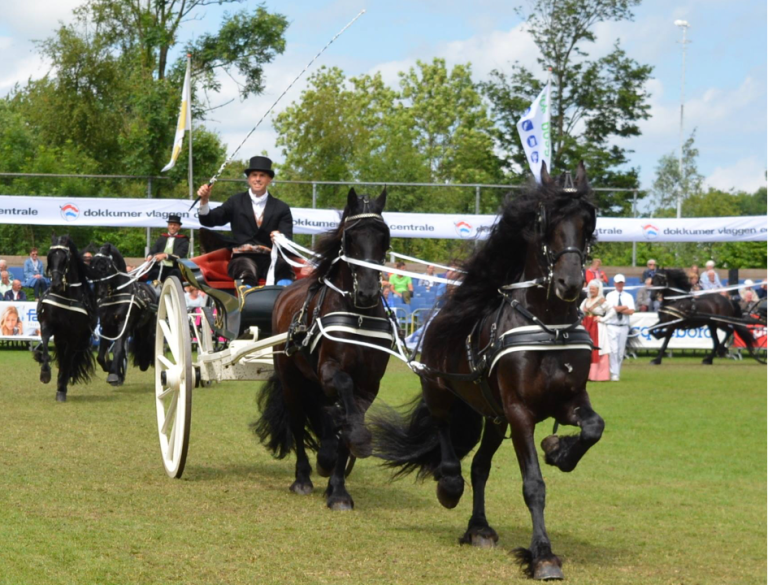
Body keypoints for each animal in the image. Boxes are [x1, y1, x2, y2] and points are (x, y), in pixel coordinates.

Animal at [34, 233, 98, 402]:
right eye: (50, 256)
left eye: (65, 258)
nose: (56, 284)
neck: (65, 296)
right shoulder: (48, 325)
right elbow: (45, 345)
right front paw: (45, 373)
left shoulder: (74, 335)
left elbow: (68, 359)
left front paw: (61, 388)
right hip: (60, 337)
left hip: (79, 339)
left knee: (69, 359)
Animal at [90, 244, 156, 386]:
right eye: (91, 267)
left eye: (106, 266)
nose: (99, 293)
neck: (116, 295)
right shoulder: (106, 326)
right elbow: (101, 354)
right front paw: (110, 368)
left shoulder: (123, 324)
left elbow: (118, 349)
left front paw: (114, 374)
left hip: (147, 327)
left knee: (146, 341)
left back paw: (144, 363)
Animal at [255, 189, 392, 508]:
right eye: (350, 237)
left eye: (384, 236)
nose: (367, 292)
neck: (357, 314)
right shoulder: (330, 370)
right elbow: (343, 390)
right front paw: (337, 454)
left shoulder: (369, 384)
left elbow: (348, 423)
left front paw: (338, 488)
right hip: (291, 380)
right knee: (297, 421)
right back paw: (303, 478)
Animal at [372, 161, 600, 580]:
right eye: (546, 221)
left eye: (587, 221)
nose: (570, 283)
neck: (549, 326)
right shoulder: (520, 412)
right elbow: (533, 485)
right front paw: (543, 556)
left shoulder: (569, 400)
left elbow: (593, 427)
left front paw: (560, 451)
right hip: (442, 391)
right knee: (445, 435)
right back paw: (449, 485)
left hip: (494, 417)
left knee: (479, 466)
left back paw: (478, 528)